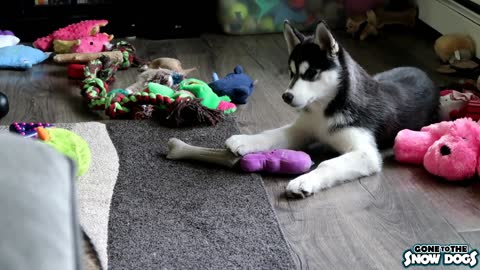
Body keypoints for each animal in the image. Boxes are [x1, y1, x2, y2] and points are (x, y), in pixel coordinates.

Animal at [225, 20, 438, 198]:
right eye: (291, 73)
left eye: (311, 73)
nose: (286, 96)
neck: (324, 109)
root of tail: (422, 72)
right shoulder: (302, 128)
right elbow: (270, 134)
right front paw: (245, 140)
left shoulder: (366, 154)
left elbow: (327, 164)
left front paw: (304, 180)